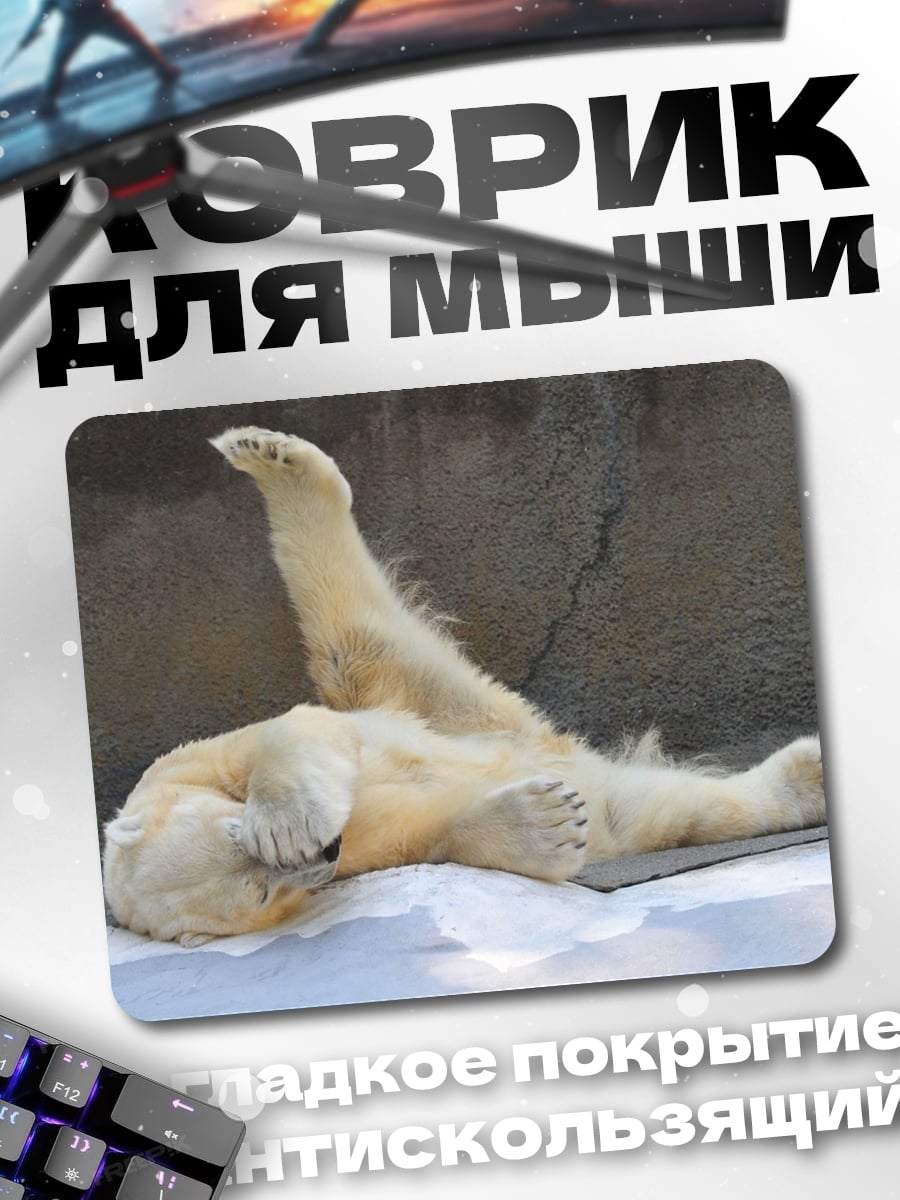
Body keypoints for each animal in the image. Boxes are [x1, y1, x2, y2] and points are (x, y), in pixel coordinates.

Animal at [103, 427, 826, 947]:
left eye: (237, 833)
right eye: (255, 895)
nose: (325, 850)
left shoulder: (193, 756)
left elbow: (296, 731)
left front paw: (288, 821)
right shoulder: (360, 859)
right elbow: (424, 827)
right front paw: (544, 824)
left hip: (425, 697)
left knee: (350, 635)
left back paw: (272, 458)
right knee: (656, 809)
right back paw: (804, 781)